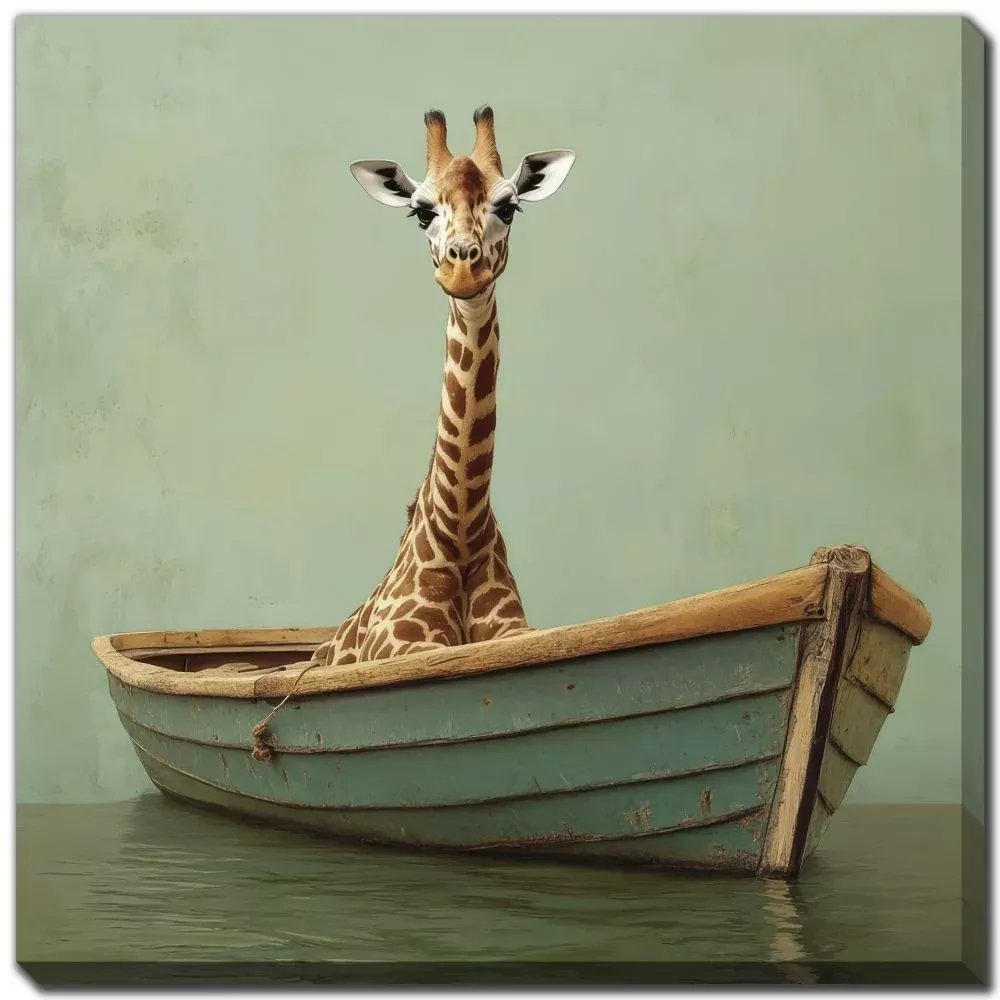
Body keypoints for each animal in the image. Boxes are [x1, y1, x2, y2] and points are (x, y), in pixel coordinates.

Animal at [312, 106, 575, 667]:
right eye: (420, 212)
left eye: (509, 207)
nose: (463, 269)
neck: (458, 529)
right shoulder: (403, 649)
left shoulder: (516, 633)